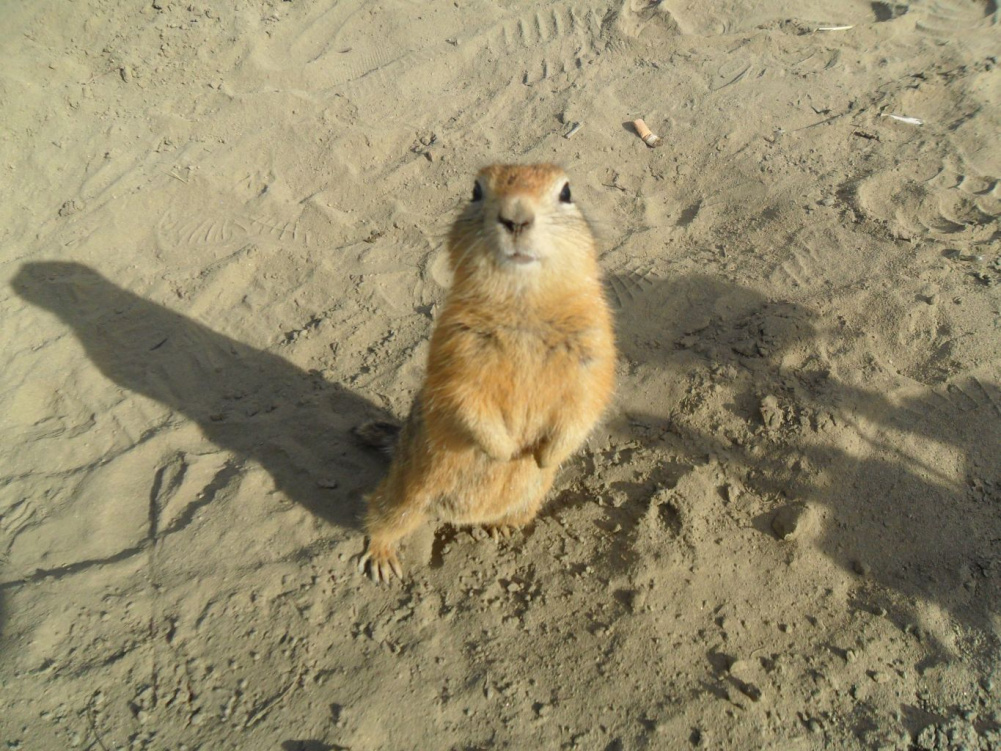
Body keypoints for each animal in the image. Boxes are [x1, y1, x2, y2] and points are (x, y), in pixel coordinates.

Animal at [356, 164, 616, 582]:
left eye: (566, 192)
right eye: (475, 191)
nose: (516, 216)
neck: (524, 305)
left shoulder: (596, 344)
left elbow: (587, 401)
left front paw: (543, 456)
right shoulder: (455, 346)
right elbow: (466, 399)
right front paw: (505, 452)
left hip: (529, 500)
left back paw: (500, 527)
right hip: (403, 495)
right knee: (379, 516)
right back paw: (382, 562)